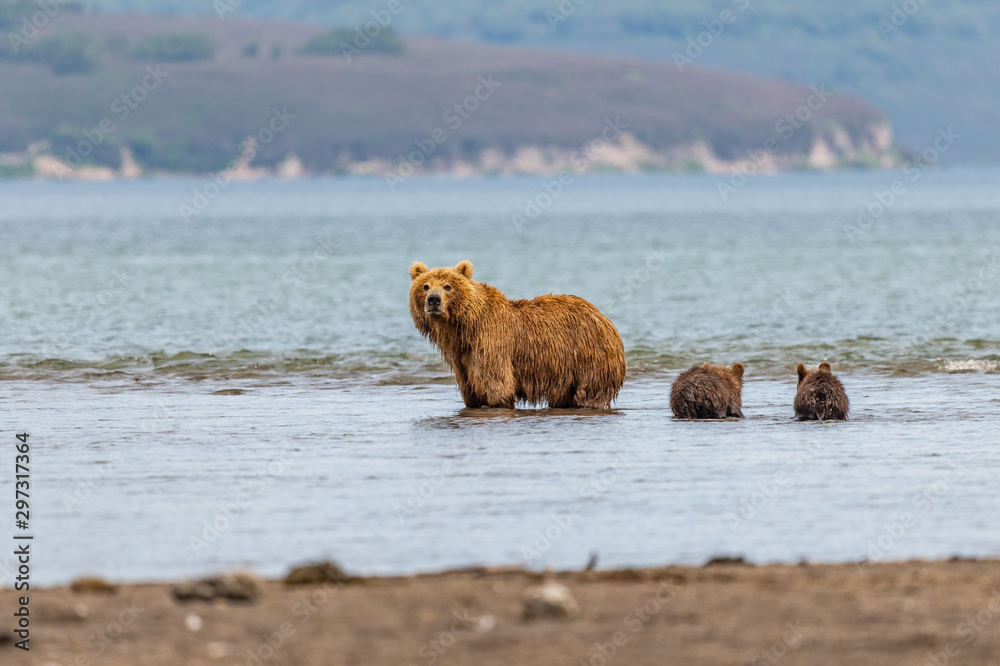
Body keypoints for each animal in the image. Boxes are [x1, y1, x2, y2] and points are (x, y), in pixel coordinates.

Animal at [409, 260, 626, 409]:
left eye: (447, 286)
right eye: (425, 286)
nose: (434, 300)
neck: (464, 327)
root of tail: (603, 317)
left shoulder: (492, 344)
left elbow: (498, 386)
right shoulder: (462, 359)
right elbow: (470, 391)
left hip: (589, 356)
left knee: (590, 392)